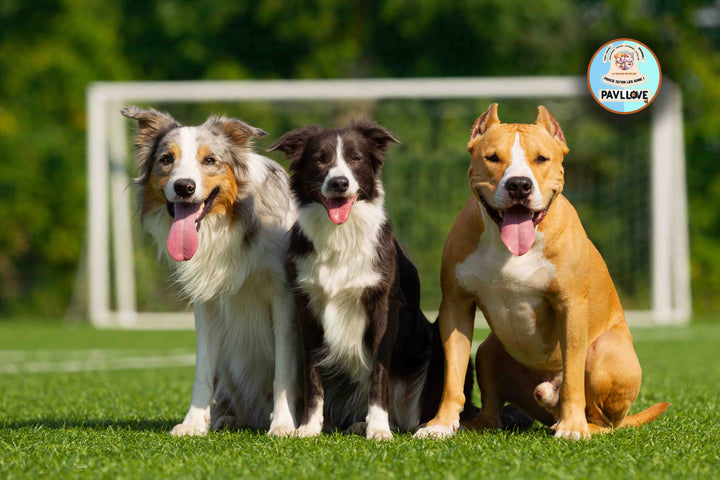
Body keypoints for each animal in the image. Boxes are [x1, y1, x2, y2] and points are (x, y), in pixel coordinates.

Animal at [268, 120, 476, 438]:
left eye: (355, 158)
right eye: (320, 159)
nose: (339, 183)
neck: (340, 235)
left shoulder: (382, 308)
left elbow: (379, 375)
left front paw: (378, 429)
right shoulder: (307, 309)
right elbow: (312, 374)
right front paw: (308, 428)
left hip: (439, 340)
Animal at [416, 104, 668, 438]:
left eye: (541, 159)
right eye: (492, 157)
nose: (519, 184)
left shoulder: (570, 306)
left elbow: (573, 376)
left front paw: (573, 427)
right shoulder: (456, 306)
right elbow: (452, 376)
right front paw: (441, 424)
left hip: (605, 353)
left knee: (603, 420)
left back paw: (579, 424)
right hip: (489, 351)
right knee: (492, 410)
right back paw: (479, 424)